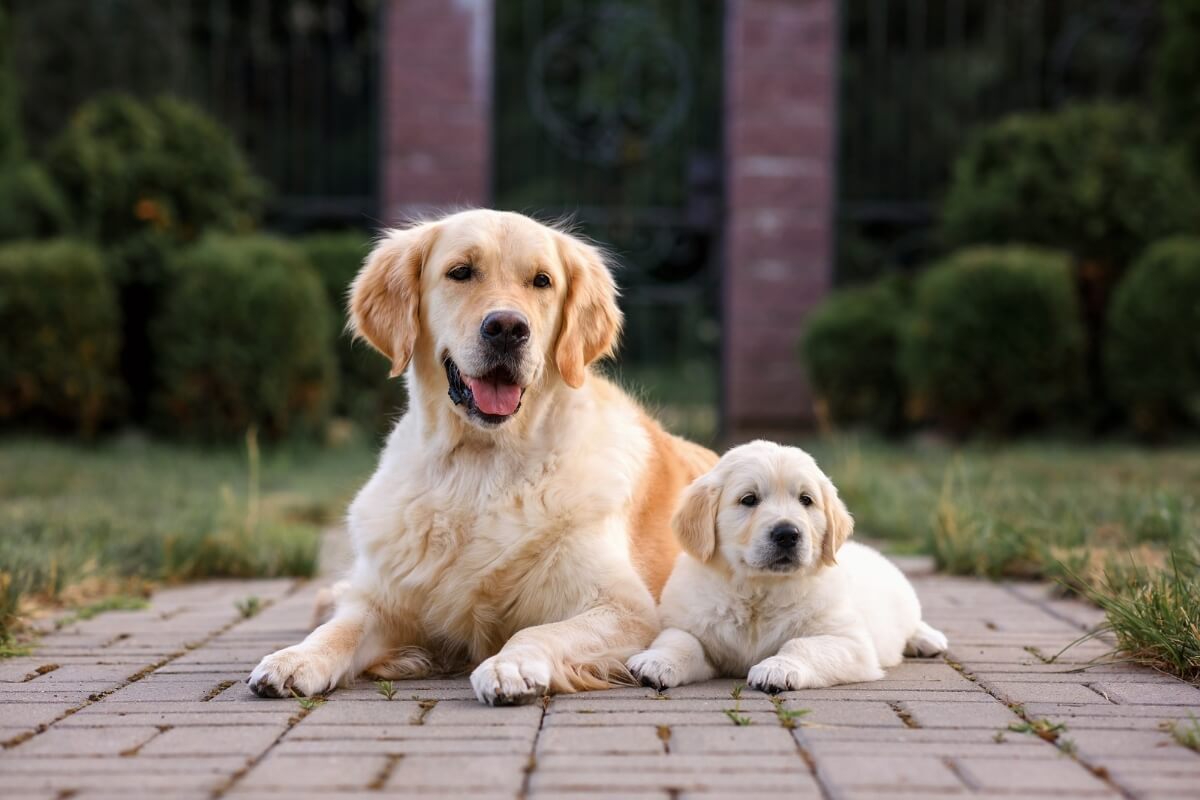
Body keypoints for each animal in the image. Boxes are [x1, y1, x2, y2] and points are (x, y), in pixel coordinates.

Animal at [244, 209, 710, 705]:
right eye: (461, 272)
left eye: (542, 281)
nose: (507, 328)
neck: (480, 467)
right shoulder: (388, 598)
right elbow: (342, 628)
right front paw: (296, 658)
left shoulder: (629, 608)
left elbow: (534, 631)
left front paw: (510, 666)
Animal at [628, 441, 945, 690]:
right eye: (749, 499)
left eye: (806, 500)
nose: (787, 534)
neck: (758, 592)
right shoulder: (688, 623)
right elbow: (681, 641)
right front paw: (655, 662)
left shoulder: (850, 642)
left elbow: (801, 645)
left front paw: (777, 668)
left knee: (914, 622)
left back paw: (928, 639)